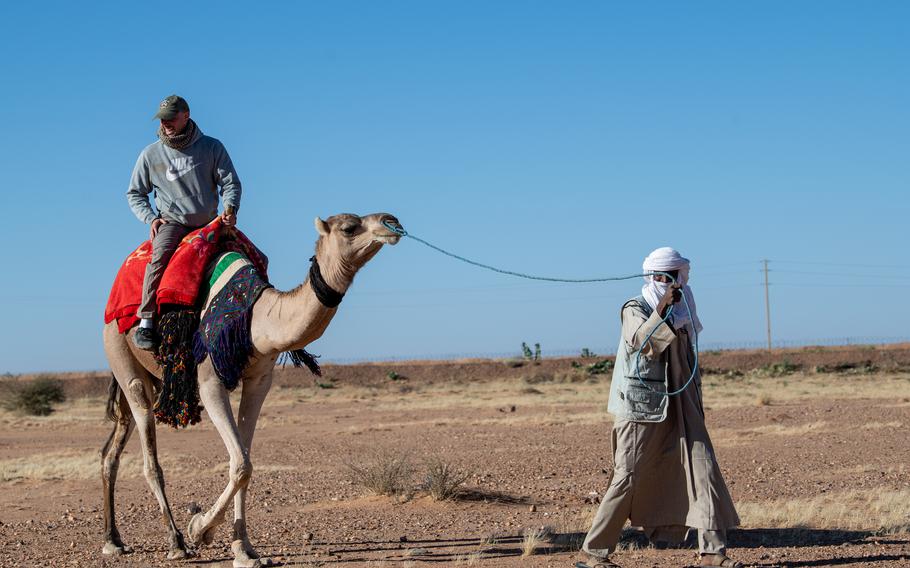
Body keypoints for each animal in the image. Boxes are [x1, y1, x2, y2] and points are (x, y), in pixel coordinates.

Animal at [98, 214, 404, 568]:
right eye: (349, 227)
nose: (392, 222)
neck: (257, 318)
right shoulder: (209, 379)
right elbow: (241, 463)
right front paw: (199, 529)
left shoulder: (259, 380)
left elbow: (244, 462)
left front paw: (243, 549)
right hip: (121, 355)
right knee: (150, 456)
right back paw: (176, 542)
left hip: (152, 379)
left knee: (111, 451)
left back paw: (113, 540)